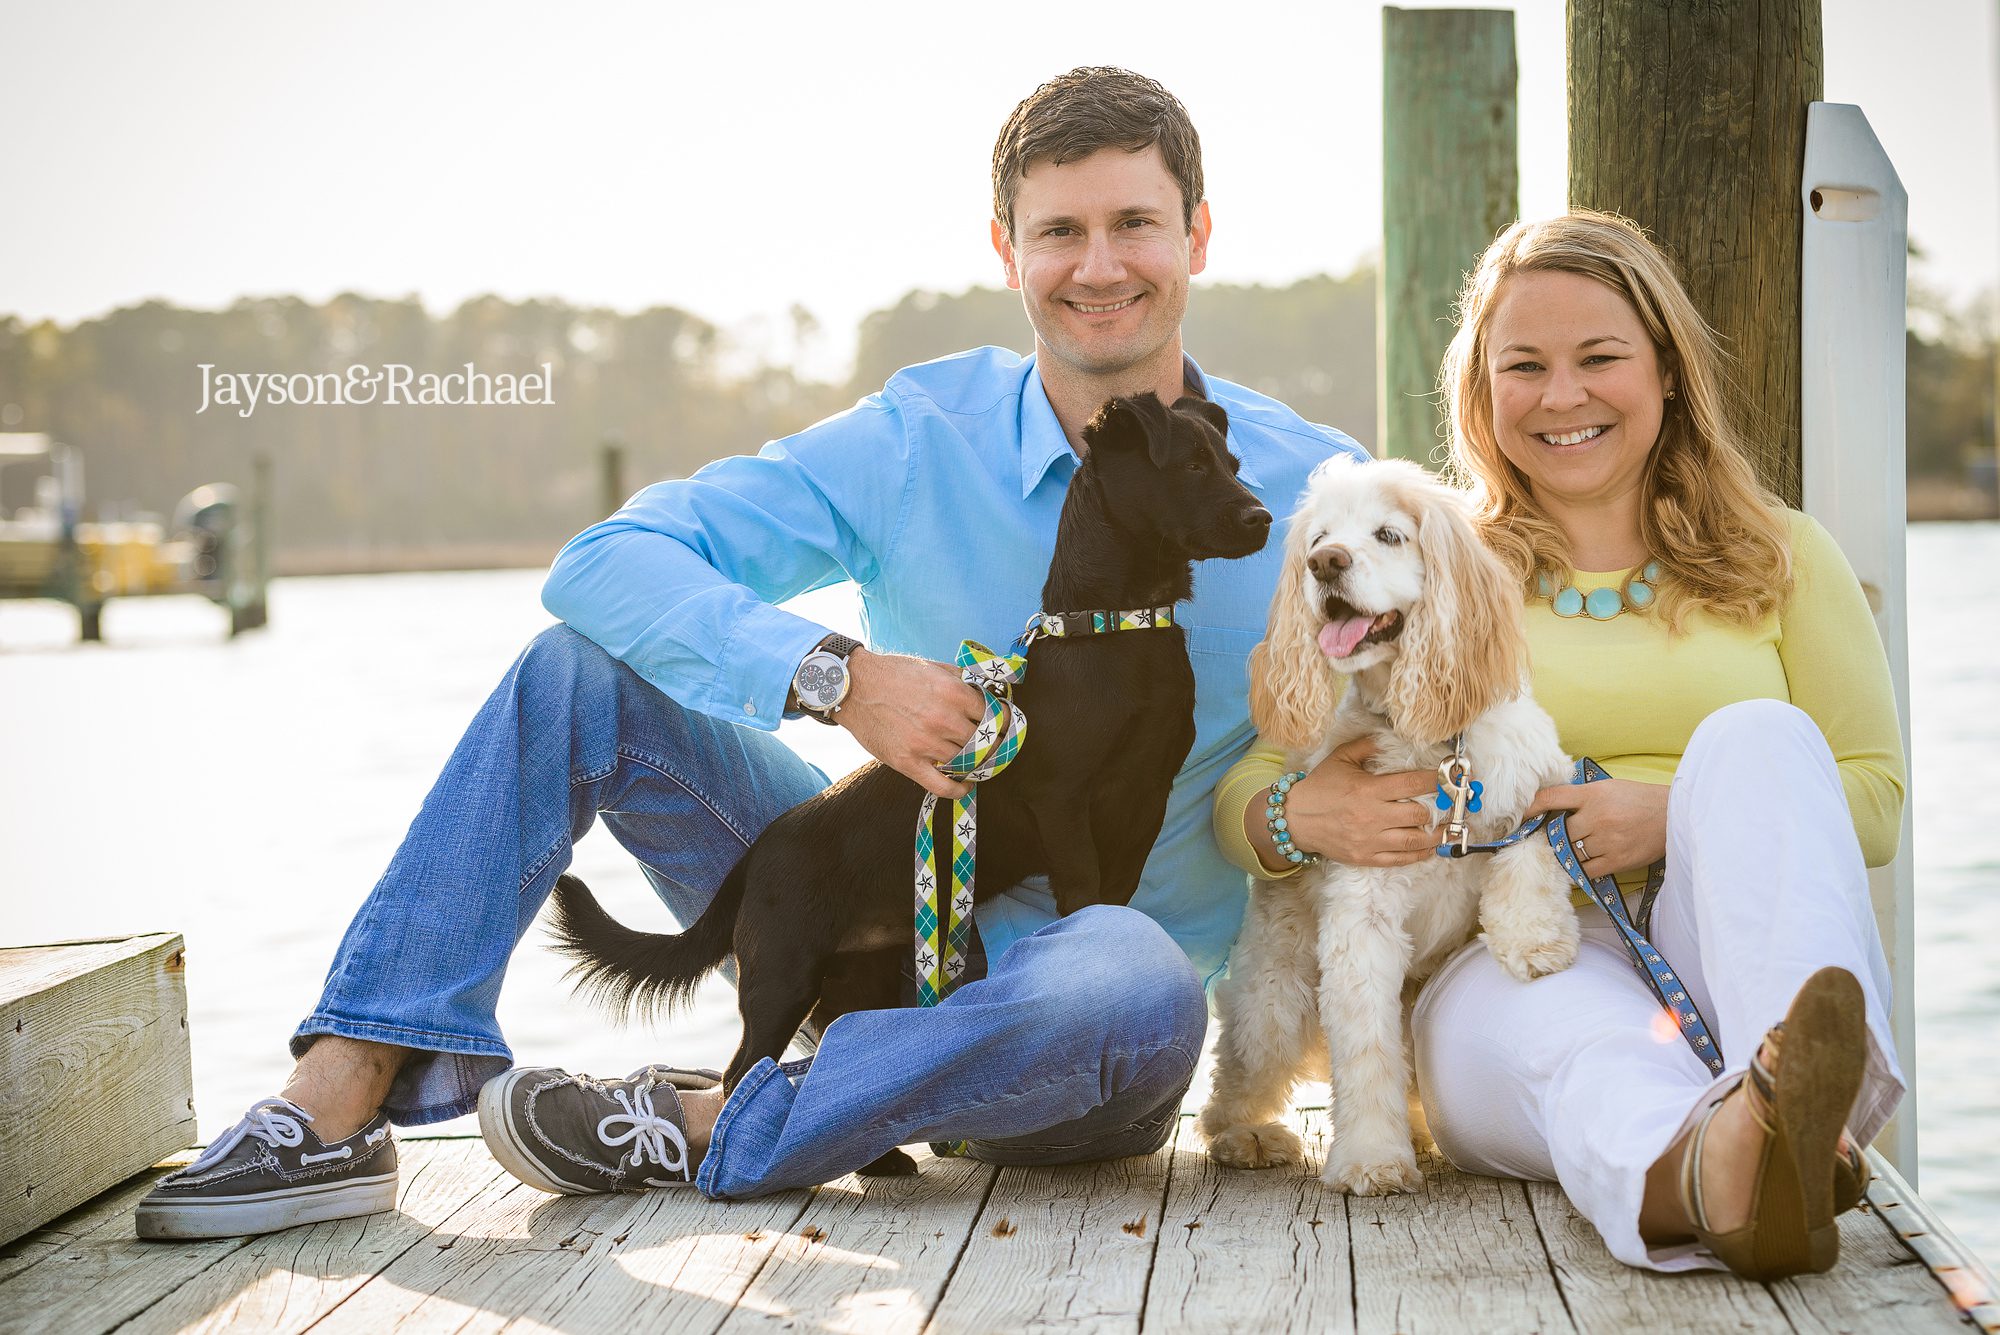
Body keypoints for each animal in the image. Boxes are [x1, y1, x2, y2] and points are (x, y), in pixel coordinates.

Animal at [544, 391, 1264, 1111]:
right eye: (1193, 466)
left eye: (1233, 465)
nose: (1261, 519)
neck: (1113, 630)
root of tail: (758, 853)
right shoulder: (1062, 804)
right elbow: (1088, 896)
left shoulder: (1145, 799)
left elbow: (1117, 893)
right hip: (783, 972)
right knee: (740, 1072)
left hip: (854, 979)